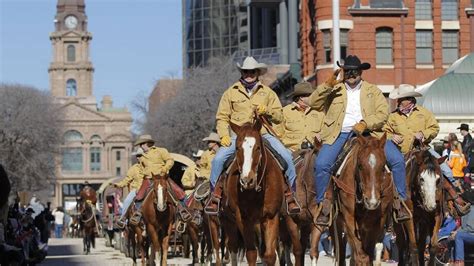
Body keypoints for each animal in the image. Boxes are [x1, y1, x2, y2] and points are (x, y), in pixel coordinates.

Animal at [222, 118, 286, 266]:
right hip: (229, 221)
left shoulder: (271, 216)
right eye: (237, 148)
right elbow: (251, 253)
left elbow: (269, 255)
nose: (247, 180)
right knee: (233, 248)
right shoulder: (243, 218)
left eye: (257, 147)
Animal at [332, 135, 394, 266]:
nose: (372, 202)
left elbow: (368, 254)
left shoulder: (377, 222)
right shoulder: (349, 219)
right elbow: (361, 256)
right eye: (360, 166)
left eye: (382, 167)